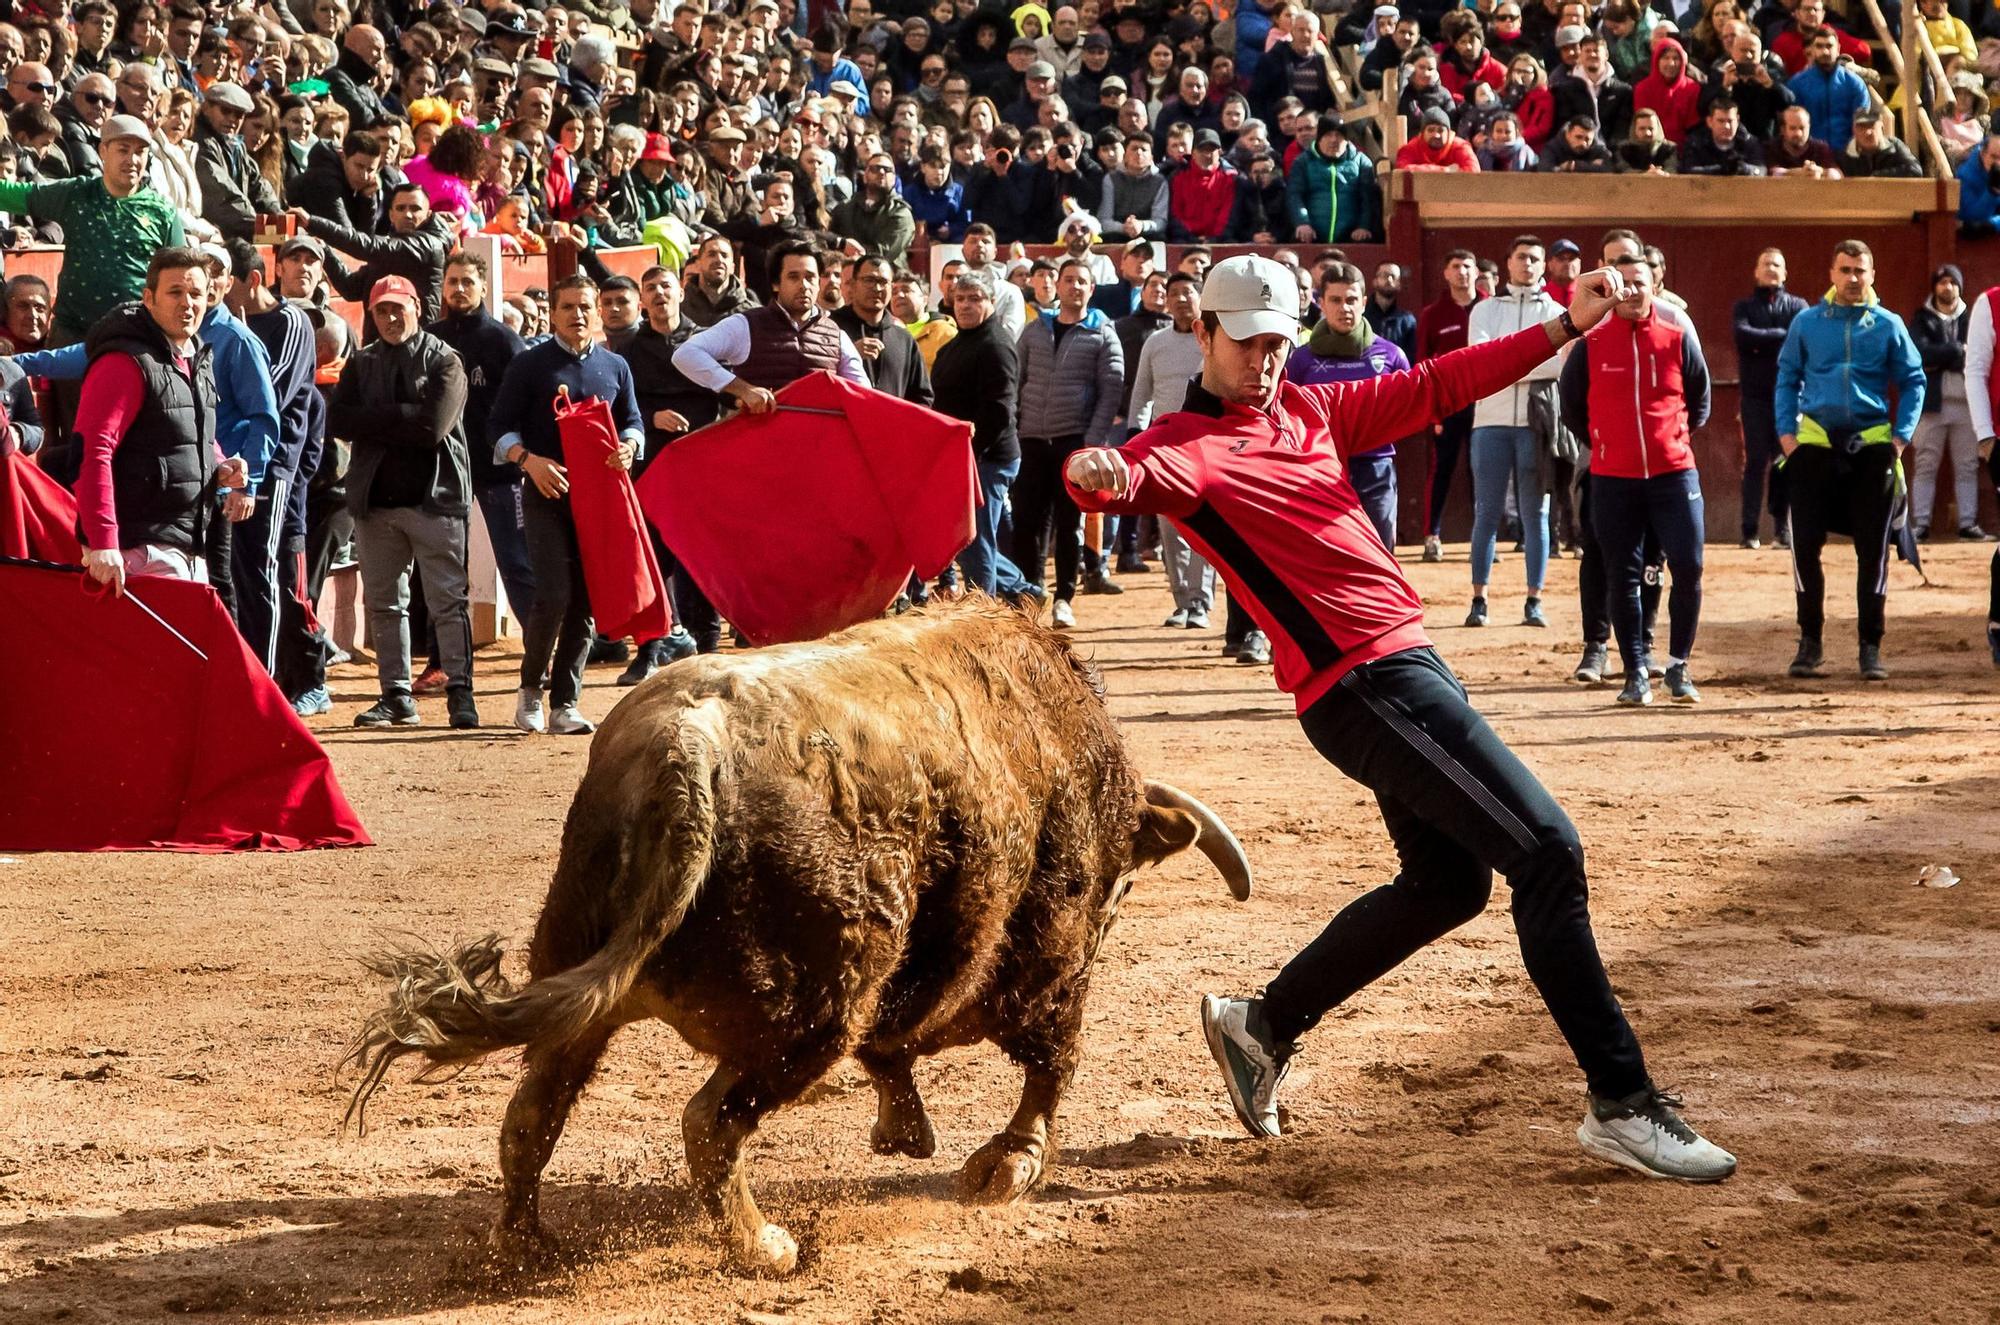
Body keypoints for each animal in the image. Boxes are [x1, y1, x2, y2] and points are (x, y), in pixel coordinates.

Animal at [350, 600, 1240, 1280]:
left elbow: (903, 1053)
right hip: (810, 1014)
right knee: (711, 1122)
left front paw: (906, 1132)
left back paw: (525, 1243)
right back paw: (765, 1247)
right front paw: (1006, 1165)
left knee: (533, 1110)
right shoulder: (1049, 959)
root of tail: (686, 748)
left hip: (583, 978)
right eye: (1121, 885)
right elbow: (1051, 1062)